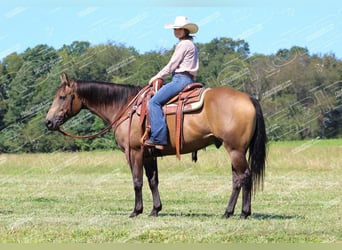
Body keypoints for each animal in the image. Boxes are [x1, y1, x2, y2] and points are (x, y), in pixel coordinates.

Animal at [44, 73, 268, 219]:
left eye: (62, 97)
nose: (48, 122)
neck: (125, 107)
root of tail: (249, 98)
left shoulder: (134, 153)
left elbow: (137, 181)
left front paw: (136, 211)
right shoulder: (148, 155)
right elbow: (153, 181)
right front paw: (155, 210)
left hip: (236, 150)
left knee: (245, 177)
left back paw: (244, 213)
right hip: (236, 151)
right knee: (237, 179)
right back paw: (228, 212)